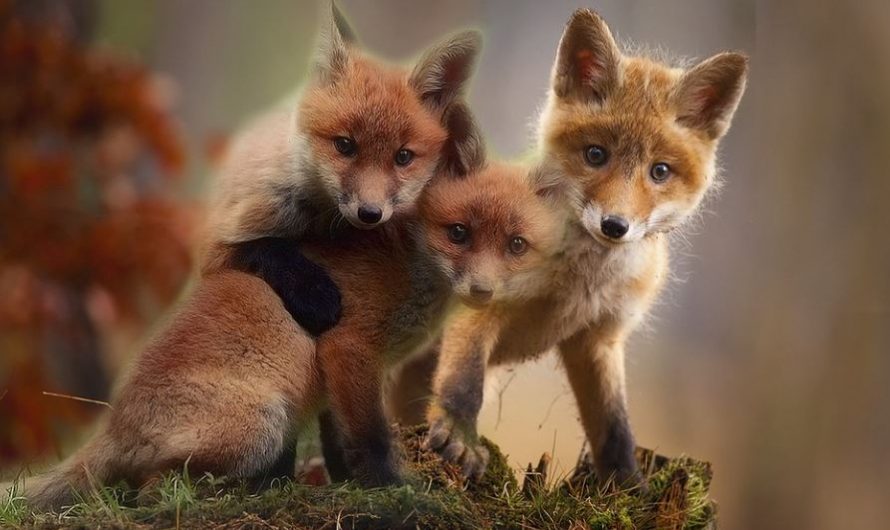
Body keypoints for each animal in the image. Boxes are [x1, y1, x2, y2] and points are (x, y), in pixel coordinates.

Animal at [0, 125, 568, 508]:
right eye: (458, 233)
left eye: (516, 245)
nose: (483, 290)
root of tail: (114, 423)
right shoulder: (349, 346)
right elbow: (370, 438)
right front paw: (392, 491)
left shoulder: (349, 373)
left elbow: (341, 443)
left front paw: (350, 484)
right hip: (262, 426)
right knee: (150, 491)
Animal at [201, 2, 482, 336]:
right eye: (345, 145)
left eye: (403, 157)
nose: (370, 213)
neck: (319, 220)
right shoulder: (218, 242)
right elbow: (266, 248)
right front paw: (313, 293)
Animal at [409, 8, 748, 486]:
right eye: (595, 155)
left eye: (660, 171)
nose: (615, 225)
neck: (579, 283)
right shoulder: (481, 298)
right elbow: (463, 381)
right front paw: (460, 436)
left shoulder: (600, 338)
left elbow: (614, 426)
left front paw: (628, 486)